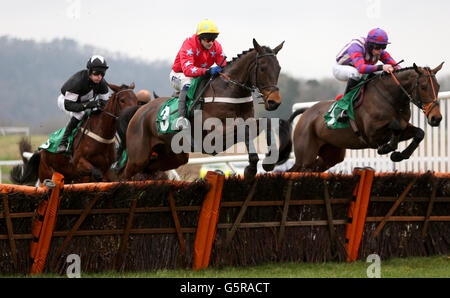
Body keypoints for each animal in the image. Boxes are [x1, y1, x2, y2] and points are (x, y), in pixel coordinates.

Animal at [116, 39, 284, 182]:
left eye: (279, 68)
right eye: (262, 68)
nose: (274, 102)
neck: (229, 91)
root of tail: (139, 112)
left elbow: (264, 123)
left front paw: (266, 162)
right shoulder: (213, 137)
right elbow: (244, 129)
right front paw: (251, 168)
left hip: (174, 156)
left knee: (151, 169)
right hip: (138, 156)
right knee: (125, 174)